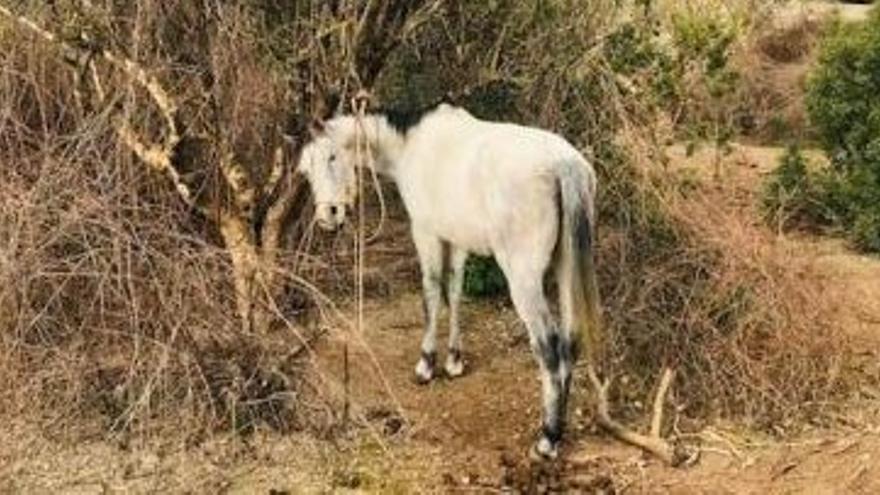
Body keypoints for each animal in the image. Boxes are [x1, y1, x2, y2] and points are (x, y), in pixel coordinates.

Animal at [300, 102, 600, 460]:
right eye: (306, 170)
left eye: (331, 157)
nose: (327, 216)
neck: (410, 145)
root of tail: (564, 165)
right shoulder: (456, 241)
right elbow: (454, 293)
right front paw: (454, 360)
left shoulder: (426, 233)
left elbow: (431, 295)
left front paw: (427, 364)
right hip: (566, 269)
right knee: (570, 341)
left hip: (524, 279)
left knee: (550, 349)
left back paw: (548, 438)